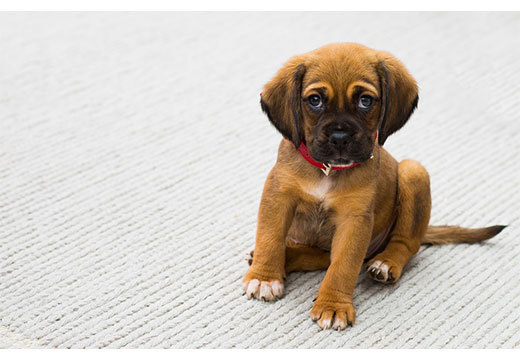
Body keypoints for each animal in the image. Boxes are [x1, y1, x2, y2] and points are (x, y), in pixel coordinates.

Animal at [244, 42, 508, 330]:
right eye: (315, 100)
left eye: (365, 101)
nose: (340, 137)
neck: (327, 171)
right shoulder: (278, 197)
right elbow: (269, 238)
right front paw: (264, 276)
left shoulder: (354, 220)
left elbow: (343, 266)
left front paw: (333, 305)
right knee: (320, 256)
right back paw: (284, 257)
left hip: (413, 172)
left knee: (406, 243)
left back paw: (386, 263)